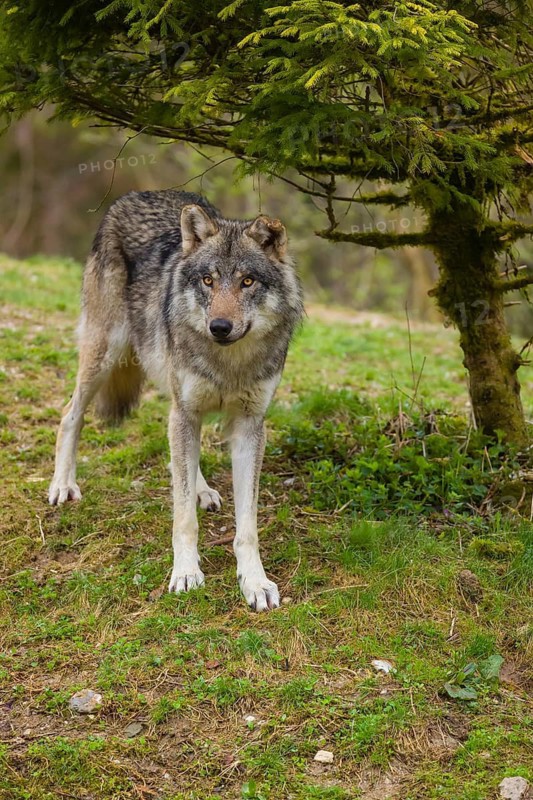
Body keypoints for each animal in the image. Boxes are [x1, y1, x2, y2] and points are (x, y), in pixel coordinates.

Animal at [48, 189, 303, 611]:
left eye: (247, 281)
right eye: (208, 280)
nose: (219, 327)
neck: (228, 363)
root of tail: (133, 194)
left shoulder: (249, 427)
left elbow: (247, 526)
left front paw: (254, 582)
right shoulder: (185, 411)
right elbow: (183, 517)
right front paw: (185, 573)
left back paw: (202, 489)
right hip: (107, 353)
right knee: (70, 414)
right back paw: (62, 485)